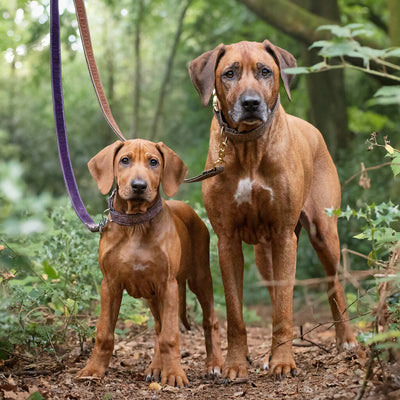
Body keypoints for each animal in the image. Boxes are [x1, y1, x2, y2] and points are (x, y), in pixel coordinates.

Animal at [76, 139, 223, 386]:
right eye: (124, 160)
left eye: (154, 162)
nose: (138, 186)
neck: (136, 223)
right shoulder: (110, 284)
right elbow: (104, 333)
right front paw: (93, 369)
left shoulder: (168, 285)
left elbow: (170, 336)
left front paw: (174, 374)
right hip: (154, 295)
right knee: (158, 327)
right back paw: (155, 367)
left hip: (199, 278)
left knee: (210, 320)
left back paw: (214, 365)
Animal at [189, 41, 358, 382]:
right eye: (229, 74)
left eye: (265, 71)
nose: (251, 103)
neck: (248, 146)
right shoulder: (228, 241)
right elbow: (235, 313)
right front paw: (236, 364)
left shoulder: (283, 236)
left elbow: (283, 309)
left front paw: (283, 361)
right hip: (263, 254)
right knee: (273, 288)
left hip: (323, 232)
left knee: (334, 284)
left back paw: (345, 340)